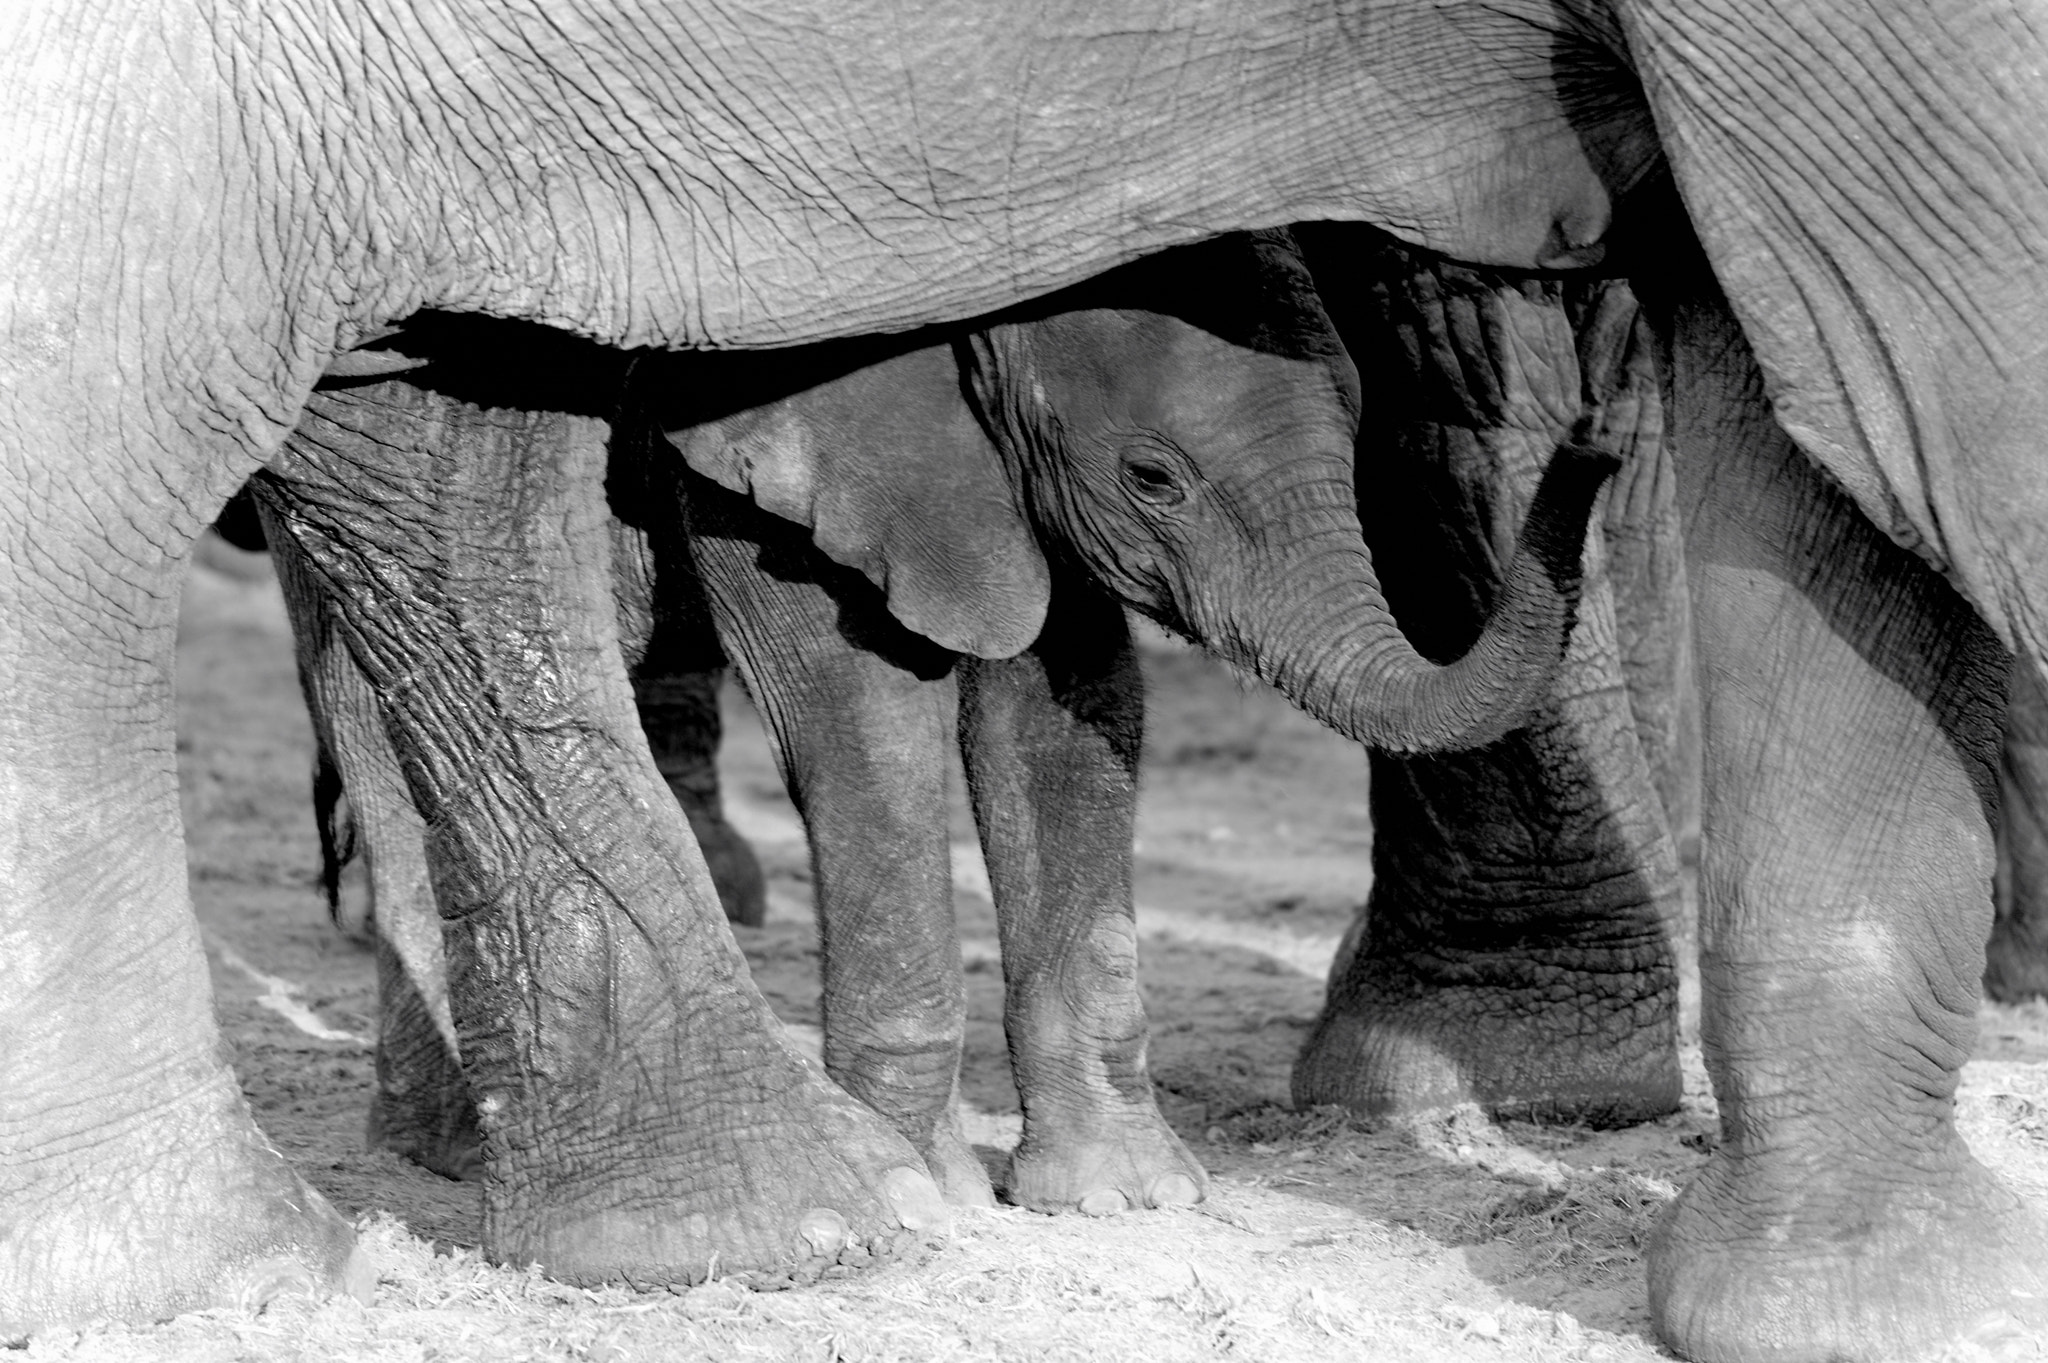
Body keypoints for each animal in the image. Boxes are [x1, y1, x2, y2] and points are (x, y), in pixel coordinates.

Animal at [4, 2, 2048, 1358]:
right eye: (1152, 473)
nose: (1596, 444)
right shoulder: (822, 456)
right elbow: (866, 692)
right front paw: (932, 1183)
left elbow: (1071, 704)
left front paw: (1120, 1195)